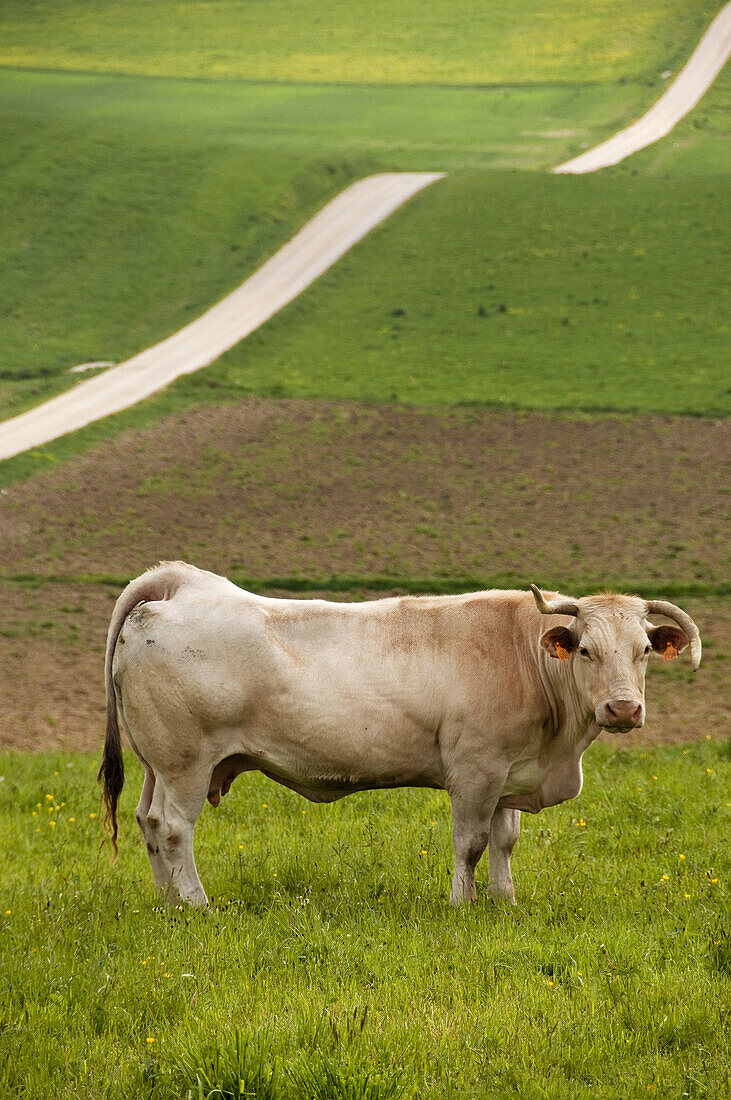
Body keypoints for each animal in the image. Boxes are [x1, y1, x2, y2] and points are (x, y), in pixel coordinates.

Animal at [98, 563, 703, 906]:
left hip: (158, 764)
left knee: (147, 821)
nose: (622, 708)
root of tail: (183, 585)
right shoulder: (475, 770)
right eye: (585, 649)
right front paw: (462, 905)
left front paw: (505, 902)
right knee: (174, 828)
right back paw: (197, 904)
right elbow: (471, 842)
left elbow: (505, 840)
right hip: (186, 762)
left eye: (644, 650)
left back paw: (167, 904)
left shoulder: (509, 772)